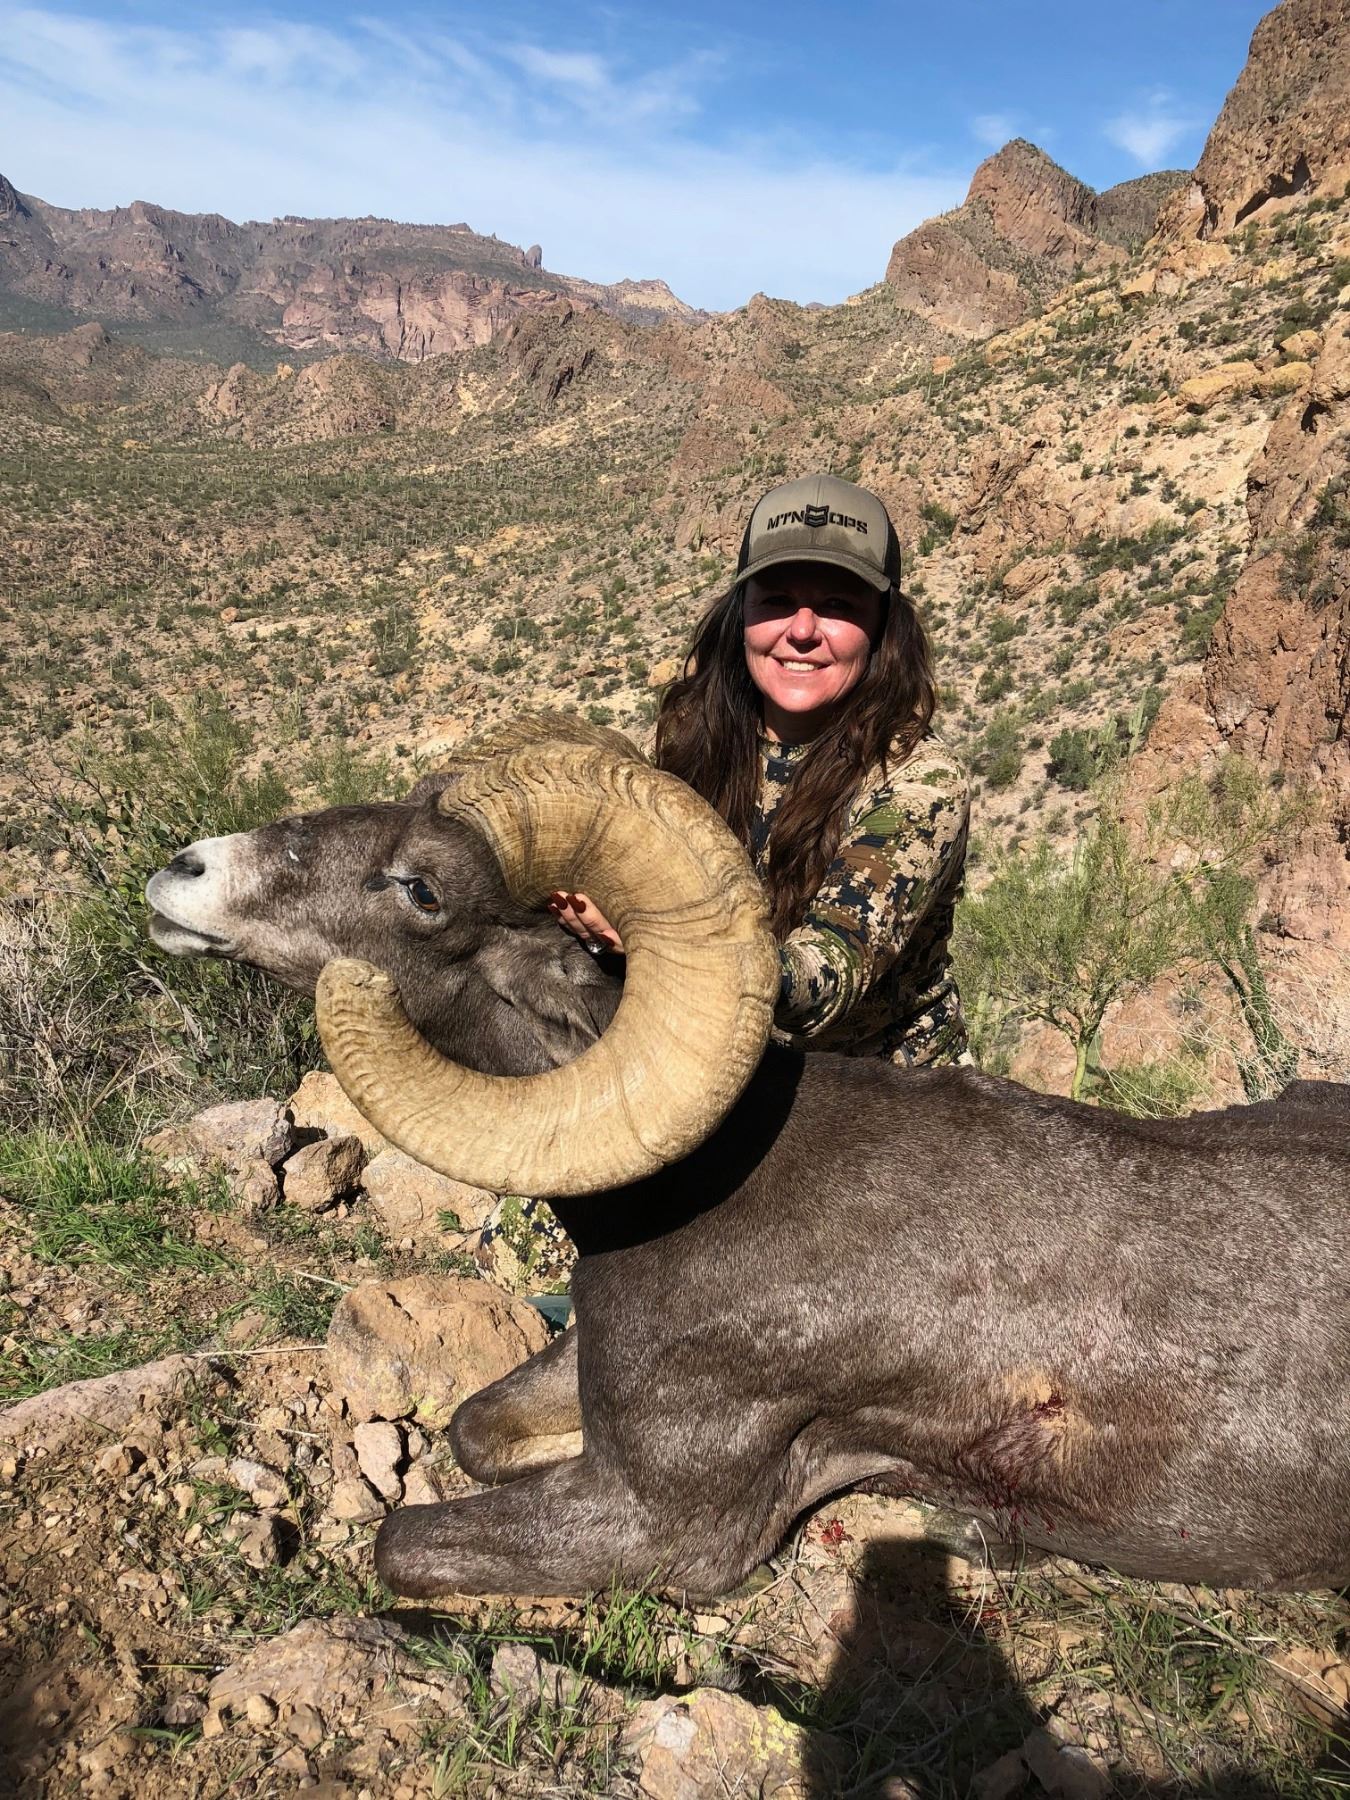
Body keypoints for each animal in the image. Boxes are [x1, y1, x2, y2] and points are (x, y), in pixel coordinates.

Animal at [146, 719, 1350, 1601]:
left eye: (421, 889)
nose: (180, 871)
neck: (682, 1193)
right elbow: (475, 1431)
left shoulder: (658, 1521)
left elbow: (402, 1542)